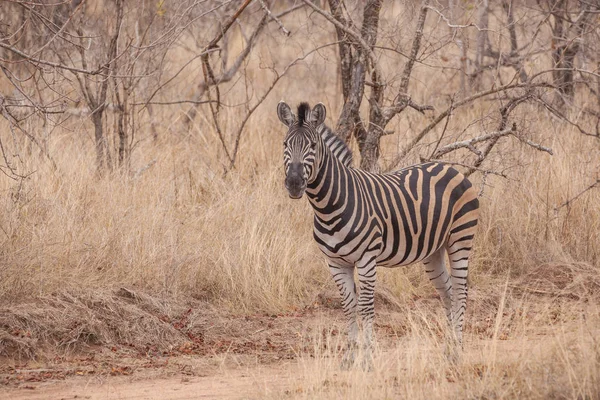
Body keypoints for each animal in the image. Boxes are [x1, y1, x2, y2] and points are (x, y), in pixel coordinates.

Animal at [278, 101, 482, 366]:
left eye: (312, 145)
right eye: (285, 144)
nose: (293, 184)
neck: (329, 205)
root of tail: (450, 168)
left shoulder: (367, 259)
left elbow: (365, 307)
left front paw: (367, 358)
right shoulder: (335, 263)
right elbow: (348, 306)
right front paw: (349, 357)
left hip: (460, 239)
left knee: (460, 291)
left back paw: (457, 350)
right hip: (433, 251)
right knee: (447, 293)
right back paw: (448, 350)